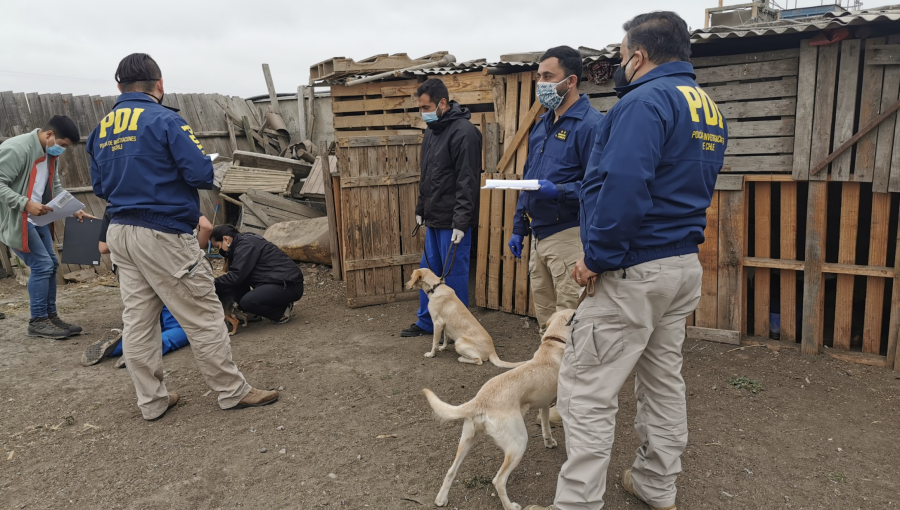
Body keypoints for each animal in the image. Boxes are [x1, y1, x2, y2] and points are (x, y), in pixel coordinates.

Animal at [424, 308, 576, 508]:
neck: (553, 343)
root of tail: (481, 400)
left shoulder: (543, 404)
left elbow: (545, 427)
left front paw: (549, 442)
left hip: (467, 439)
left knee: (451, 470)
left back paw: (441, 499)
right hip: (518, 444)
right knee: (498, 480)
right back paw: (511, 506)